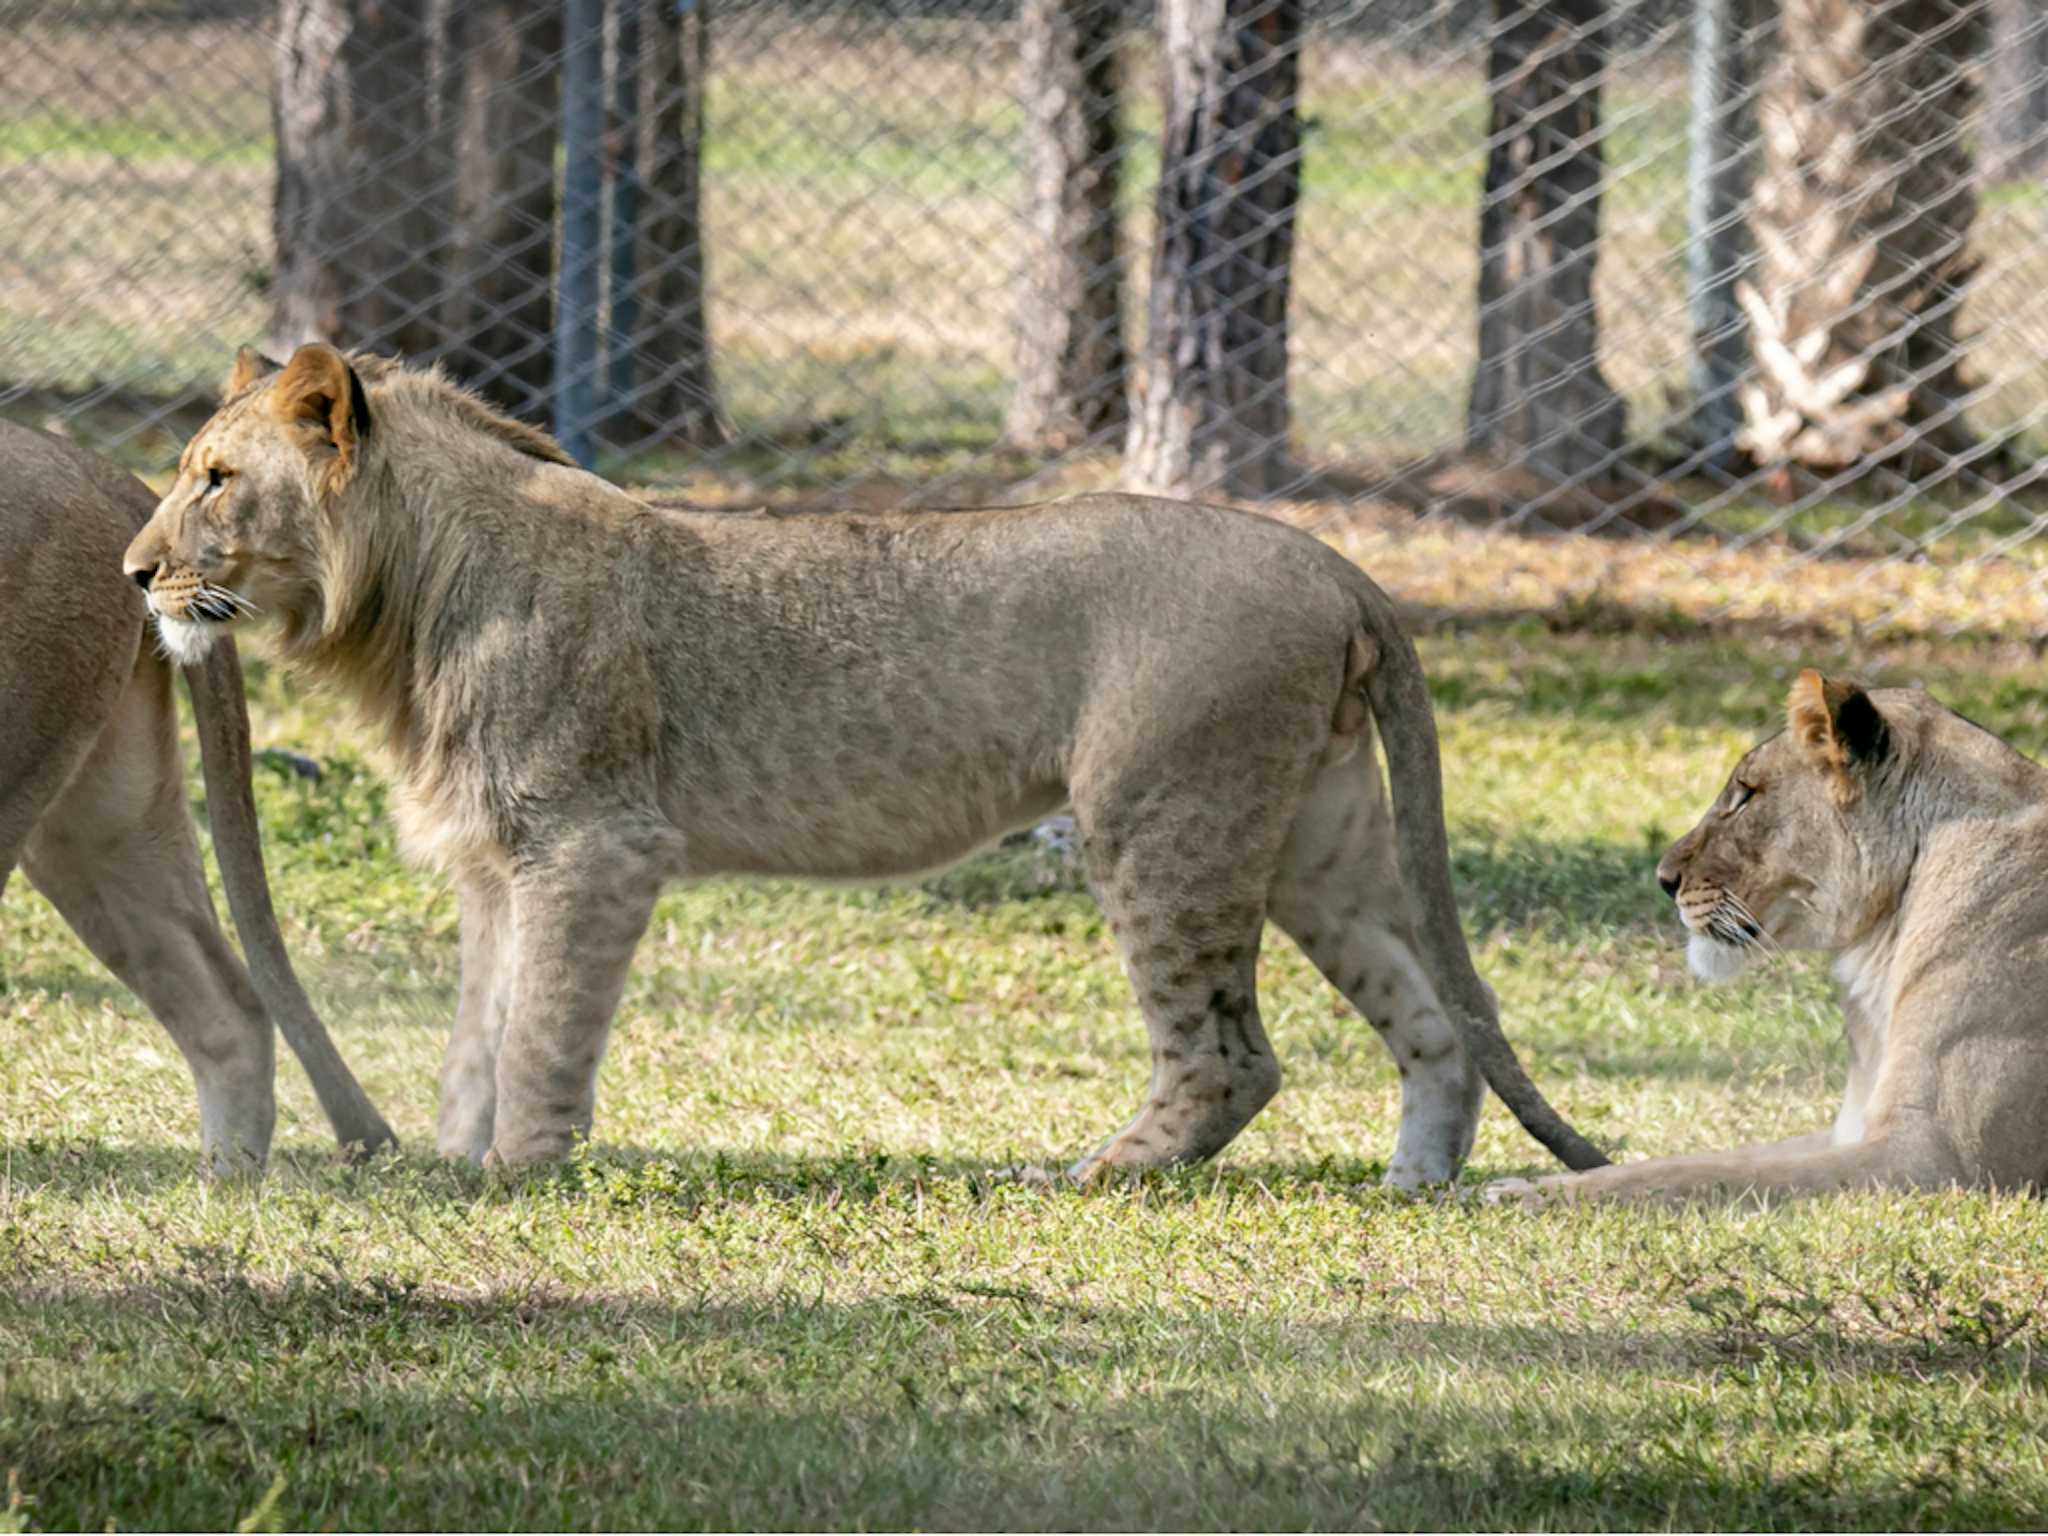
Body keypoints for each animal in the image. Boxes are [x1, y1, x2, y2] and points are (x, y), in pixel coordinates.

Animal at [123, 348, 1613, 1187]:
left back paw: (1080, 1179)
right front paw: (447, 1166)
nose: (134, 573)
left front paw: (517, 1178)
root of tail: (1336, 564)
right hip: (1314, 839)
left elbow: (541, 1028)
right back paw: (1414, 1184)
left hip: (1159, 819)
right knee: (1435, 1020)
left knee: (1229, 1060)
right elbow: (474, 1035)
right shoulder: (501, 861)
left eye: (213, 479)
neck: (403, 600)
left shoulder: (594, 844)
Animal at [1490, 667, 2048, 1212]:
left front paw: (1515, 1195)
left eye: (1745, 795)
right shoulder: (1853, 1130)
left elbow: (1696, 1178)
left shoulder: (1939, 1159)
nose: (1664, 879)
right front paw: (1530, 1182)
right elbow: (1698, 1161)